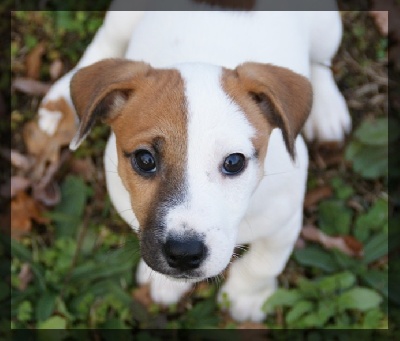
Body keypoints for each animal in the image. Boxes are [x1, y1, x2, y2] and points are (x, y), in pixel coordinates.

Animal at [37, 3, 350, 322]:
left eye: (234, 162)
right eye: (145, 159)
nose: (184, 254)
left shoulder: (284, 221)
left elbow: (264, 263)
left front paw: (246, 297)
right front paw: (166, 283)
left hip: (326, 26)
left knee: (320, 64)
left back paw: (327, 109)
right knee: (106, 42)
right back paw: (61, 104)